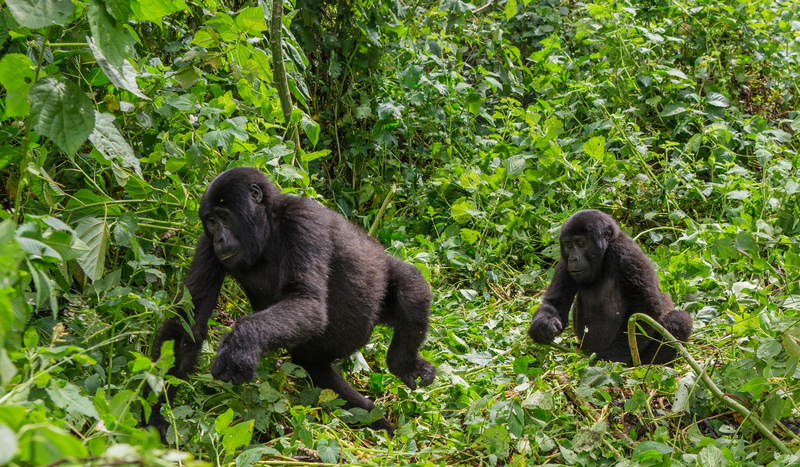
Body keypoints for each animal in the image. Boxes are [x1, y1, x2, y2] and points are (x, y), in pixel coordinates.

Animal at [150, 168, 438, 438]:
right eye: (210, 221)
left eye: (223, 217)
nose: (219, 239)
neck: (268, 225)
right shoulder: (206, 245)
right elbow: (188, 323)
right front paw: (155, 414)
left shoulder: (301, 222)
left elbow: (305, 300)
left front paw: (241, 343)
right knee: (315, 370)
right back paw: (370, 416)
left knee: (411, 287)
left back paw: (404, 364)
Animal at [528, 209, 692, 366]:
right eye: (568, 245)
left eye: (581, 243)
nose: (573, 259)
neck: (604, 254)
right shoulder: (564, 262)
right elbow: (556, 303)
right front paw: (543, 326)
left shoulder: (625, 253)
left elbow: (645, 308)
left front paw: (611, 358)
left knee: (679, 320)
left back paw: (649, 366)